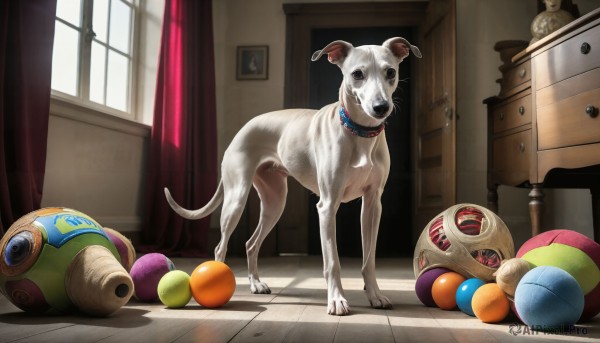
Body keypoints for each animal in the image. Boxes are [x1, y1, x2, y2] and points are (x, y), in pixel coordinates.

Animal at [164, 37, 418, 314]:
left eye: (390, 72)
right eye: (357, 74)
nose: (381, 107)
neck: (359, 132)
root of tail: (242, 129)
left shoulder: (372, 205)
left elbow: (369, 259)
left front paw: (374, 295)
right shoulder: (327, 206)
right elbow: (332, 261)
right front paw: (336, 299)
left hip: (275, 202)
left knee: (251, 244)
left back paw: (256, 284)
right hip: (236, 199)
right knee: (221, 246)